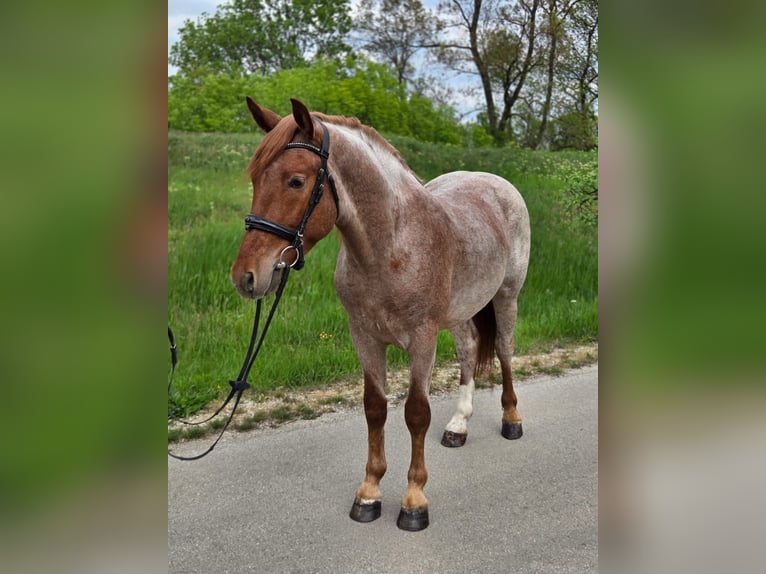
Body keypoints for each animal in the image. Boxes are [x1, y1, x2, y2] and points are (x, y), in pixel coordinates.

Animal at [231, 98, 531, 532]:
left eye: (296, 181)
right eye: (255, 178)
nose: (247, 277)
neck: (390, 246)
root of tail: (496, 183)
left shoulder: (422, 339)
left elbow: (416, 413)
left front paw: (414, 501)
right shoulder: (365, 336)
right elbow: (375, 408)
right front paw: (369, 493)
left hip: (507, 296)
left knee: (505, 351)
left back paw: (511, 420)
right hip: (460, 312)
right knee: (469, 353)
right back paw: (458, 426)